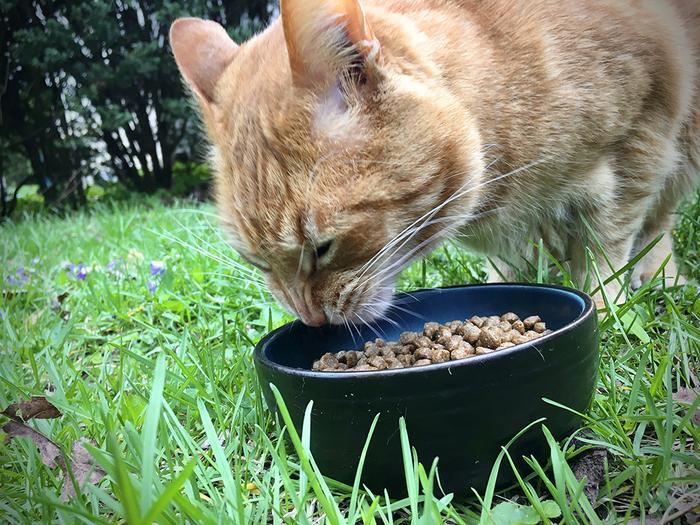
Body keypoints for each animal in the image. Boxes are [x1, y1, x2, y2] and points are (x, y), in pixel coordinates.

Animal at [171, 0, 700, 326]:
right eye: (256, 261)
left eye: (323, 248)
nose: (313, 321)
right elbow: (510, 270)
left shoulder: (642, 138)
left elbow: (604, 254)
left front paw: (609, 313)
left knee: (657, 226)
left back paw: (664, 281)